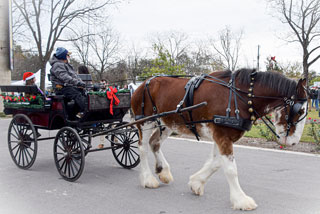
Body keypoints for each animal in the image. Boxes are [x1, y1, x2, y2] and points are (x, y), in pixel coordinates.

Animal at [130, 69, 308, 211]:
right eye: (300, 111)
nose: (293, 142)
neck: (239, 98)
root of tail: (143, 84)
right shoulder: (222, 136)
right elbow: (230, 169)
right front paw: (240, 199)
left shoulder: (220, 136)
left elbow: (216, 163)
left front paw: (196, 183)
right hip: (145, 121)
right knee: (143, 147)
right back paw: (148, 179)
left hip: (167, 123)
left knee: (154, 143)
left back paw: (163, 171)